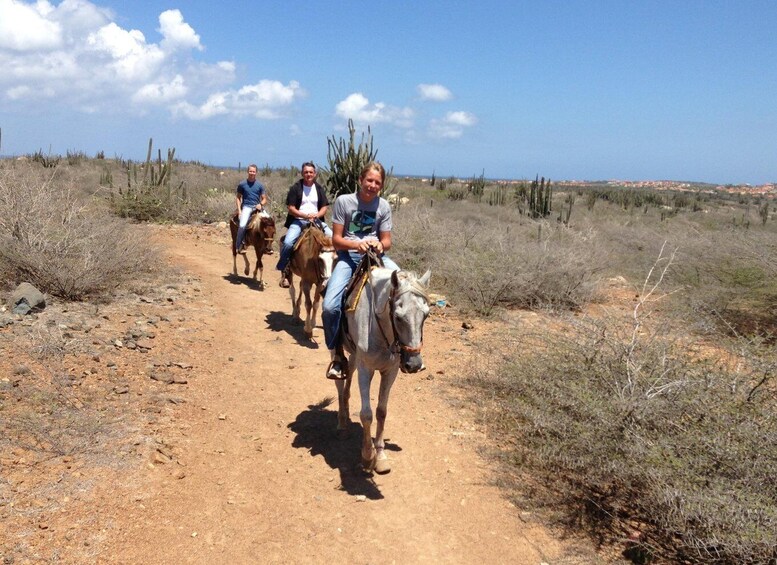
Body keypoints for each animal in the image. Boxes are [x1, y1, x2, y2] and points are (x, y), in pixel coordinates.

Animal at [334, 264, 430, 472]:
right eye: (398, 317)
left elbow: (381, 411)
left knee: (347, 379)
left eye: (426, 315)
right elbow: (366, 414)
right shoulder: (366, 369)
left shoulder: (390, 372)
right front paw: (367, 456)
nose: (414, 364)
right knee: (339, 384)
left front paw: (380, 455)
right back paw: (341, 424)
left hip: (354, 355)